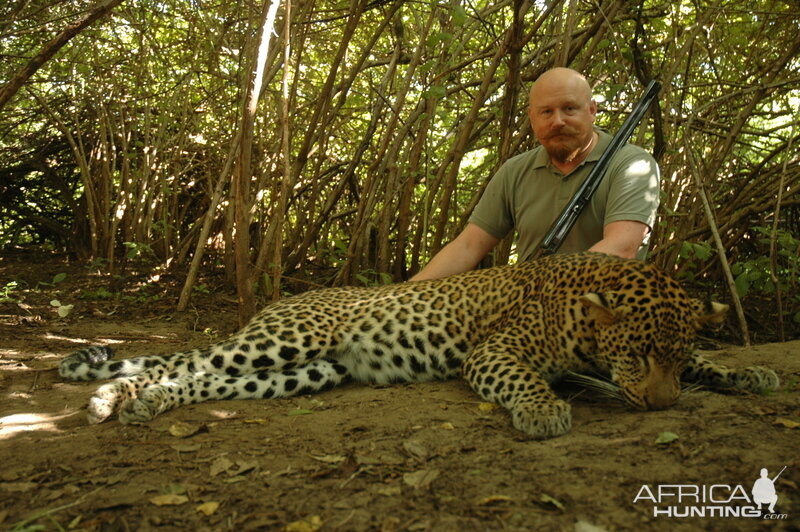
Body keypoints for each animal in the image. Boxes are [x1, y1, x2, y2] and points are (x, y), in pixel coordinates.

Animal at [57, 251, 780, 438]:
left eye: (673, 359)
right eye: (637, 356)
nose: (661, 407)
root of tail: (281, 299)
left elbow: (712, 360)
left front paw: (753, 377)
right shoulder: (497, 353)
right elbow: (526, 380)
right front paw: (544, 410)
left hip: (312, 371)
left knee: (199, 379)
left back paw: (146, 406)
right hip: (291, 339)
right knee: (188, 363)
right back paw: (110, 398)